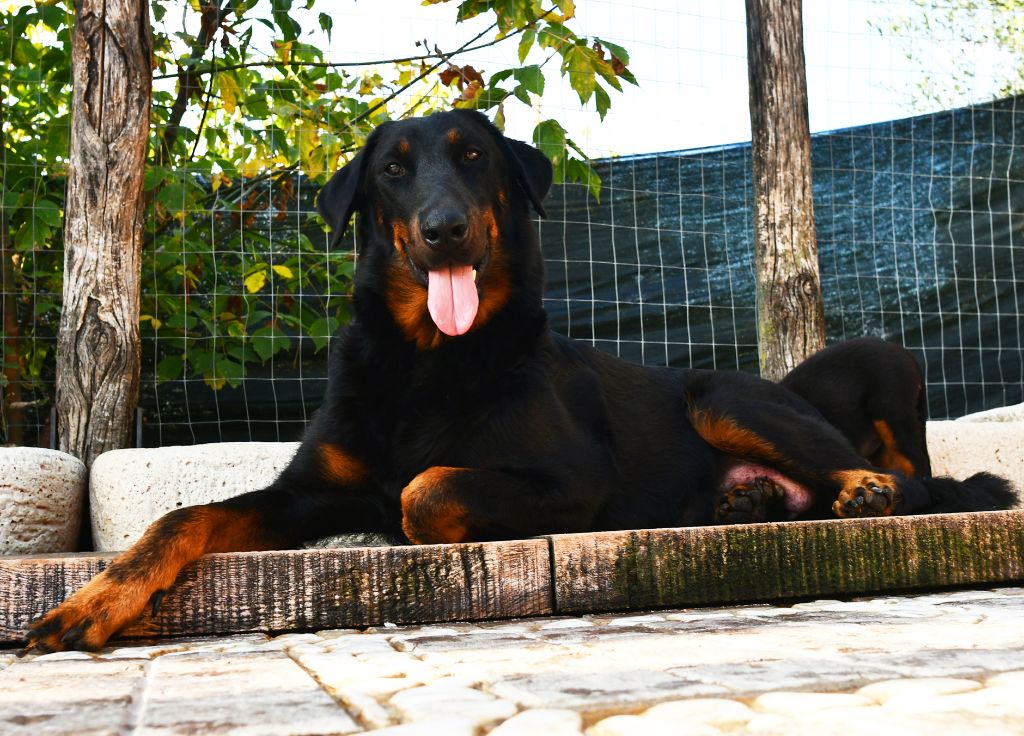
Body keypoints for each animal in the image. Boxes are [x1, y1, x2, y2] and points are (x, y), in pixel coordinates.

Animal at [27, 109, 1017, 652]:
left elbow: (424, 490)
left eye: (475, 160)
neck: (427, 358)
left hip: (721, 393)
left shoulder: (577, 481)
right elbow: (181, 519)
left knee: (901, 479)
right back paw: (751, 505)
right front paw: (92, 601)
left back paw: (859, 491)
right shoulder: (306, 493)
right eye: (393, 172)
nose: (444, 231)